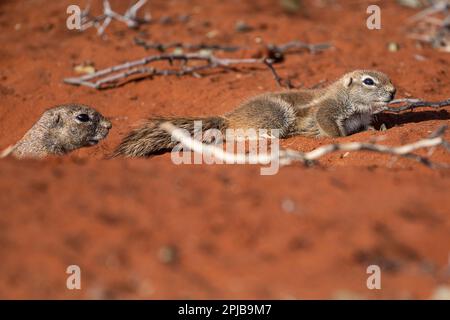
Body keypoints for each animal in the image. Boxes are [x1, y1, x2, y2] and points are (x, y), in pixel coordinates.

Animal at [112, 71, 394, 159]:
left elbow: (365, 128)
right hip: (277, 114)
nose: (393, 92)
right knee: (236, 136)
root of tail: (228, 118)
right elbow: (330, 127)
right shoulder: (328, 110)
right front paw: (341, 138)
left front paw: (377, 130)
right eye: (369, 81)